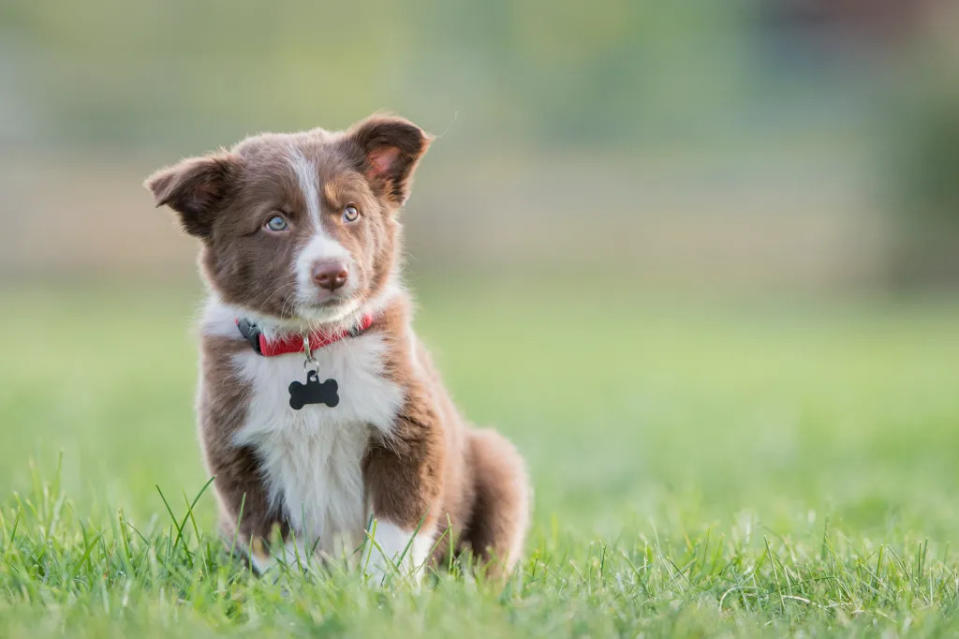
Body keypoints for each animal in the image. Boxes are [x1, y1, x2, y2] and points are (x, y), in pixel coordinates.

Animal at [146, 115, 528, 580]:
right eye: (275, 222)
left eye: (351, 212)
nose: (333, 273)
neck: (311, 341)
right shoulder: (239, 456)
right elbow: (277, 540)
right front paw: (305, 587)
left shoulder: (409, 433)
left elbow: (395, 530)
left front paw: (383, 587)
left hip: (497, 464)